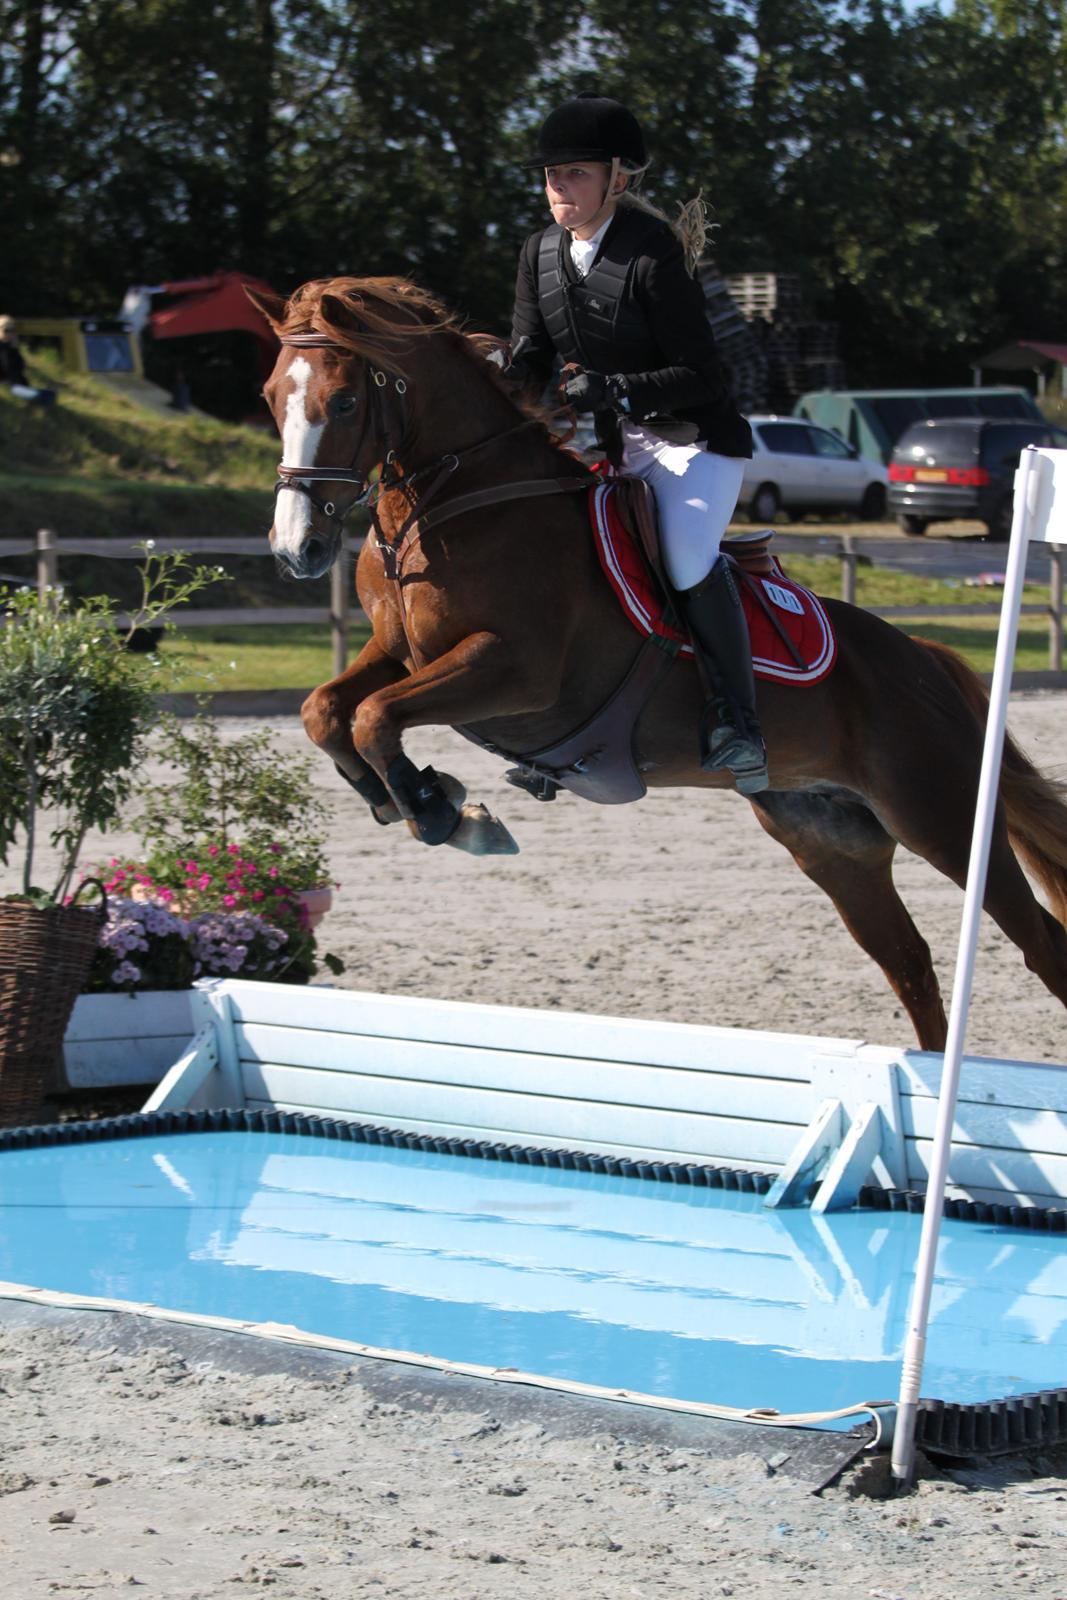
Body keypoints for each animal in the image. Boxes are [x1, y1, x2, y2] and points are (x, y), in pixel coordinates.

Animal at [252, 275, 1067, 1049]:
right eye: (270, 399)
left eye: (345, 400)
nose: (296, 551)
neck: (453, 505)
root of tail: (926, 662)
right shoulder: (400, 653)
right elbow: (329, 710)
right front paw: (403, 798)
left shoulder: (514, 671)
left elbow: (372, 715)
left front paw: (440, 809)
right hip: (832, 841)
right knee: (909, 963)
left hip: (942, 816)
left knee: (1039, 944)